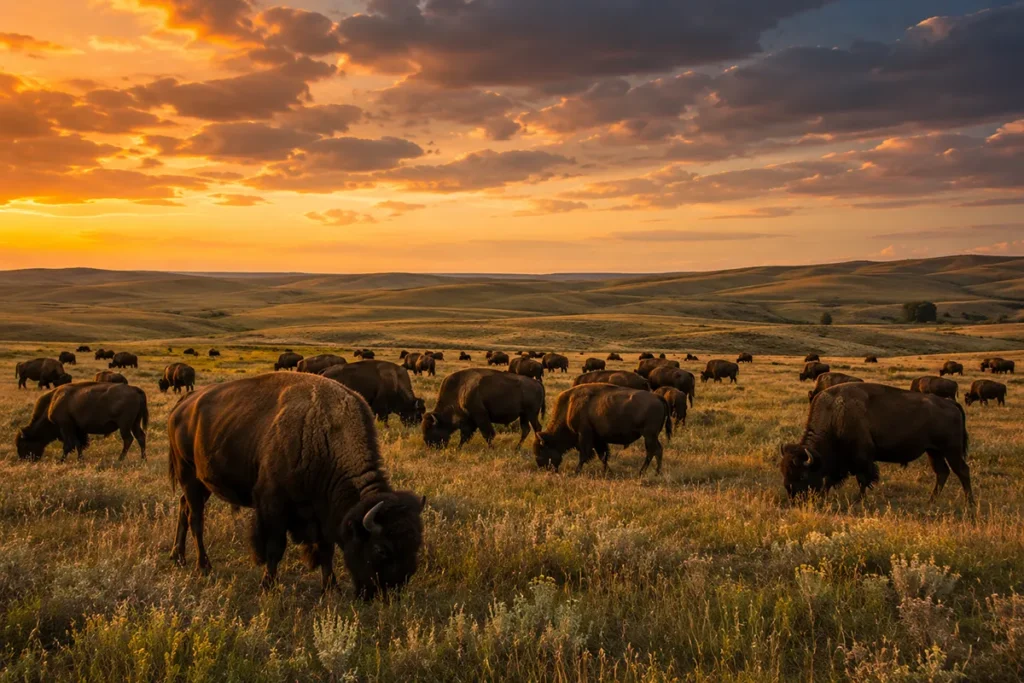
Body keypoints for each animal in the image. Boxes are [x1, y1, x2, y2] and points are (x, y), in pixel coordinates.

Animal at [16, 382, 148, 461]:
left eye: (23, 444)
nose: (24, 459)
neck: (53, 402)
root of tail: (135, 390)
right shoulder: (76, 429)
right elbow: (78, 444)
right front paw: (79, 459)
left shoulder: (65, 426)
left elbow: (69, 445)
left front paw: (62, 460)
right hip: (134, 423)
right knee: (140, 437)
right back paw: (143, 459)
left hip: (124, 425)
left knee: (128, 439)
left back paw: (120, 459)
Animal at [167, 372, 424, 598]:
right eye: (381, 549)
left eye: (415, 546)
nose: (389, 594)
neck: (324, 434)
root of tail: (183, 404)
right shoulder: (274, 507)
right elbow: (275, 548)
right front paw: (268, 587)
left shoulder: (321, 513)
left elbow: (326, 550)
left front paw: (331, 588)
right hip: (189, 475)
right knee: (195, 519)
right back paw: (203, 566)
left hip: (202, 484)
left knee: (183, 507)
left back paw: (177, 557)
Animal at [533, 383, 671, 475]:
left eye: (541, 451)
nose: (546, 470)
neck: (570, 406)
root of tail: (658, 397)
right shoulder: (597, 439)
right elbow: (602, 455)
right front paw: (608, 472)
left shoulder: (584, 436)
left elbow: (584, 455)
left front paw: (576, 472)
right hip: (652, 436)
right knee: (658, 450)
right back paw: (655, 473)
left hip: (649, 435)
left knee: (652, 451)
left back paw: (643, 472)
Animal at [779, 383, 971, 504]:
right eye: (784, 472)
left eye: (802, 475)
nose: (794, 499)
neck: (836, 414)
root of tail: (951, 403)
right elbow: (831, 480)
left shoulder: (862, 458)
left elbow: (863, 479)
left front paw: (859, 500)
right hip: (933, 451)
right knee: (942, 472)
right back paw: (931, 501)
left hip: (951, 450)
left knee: (962, 471)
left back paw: (969, 504)